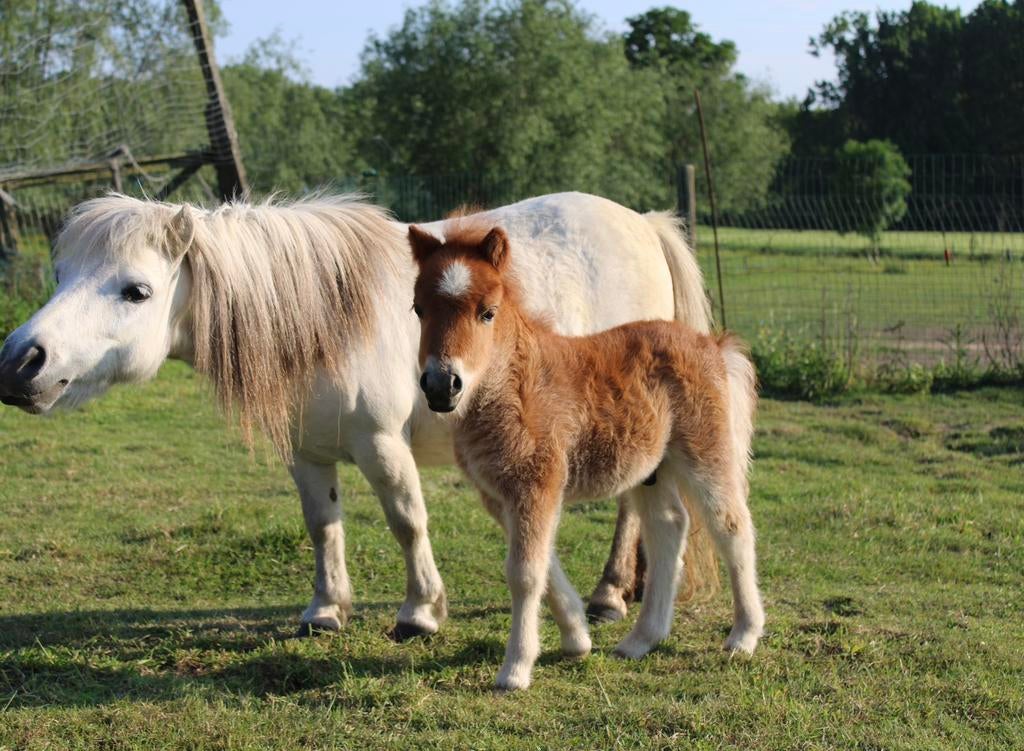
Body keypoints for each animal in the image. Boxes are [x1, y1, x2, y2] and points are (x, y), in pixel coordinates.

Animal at [0, 191, 717, 639]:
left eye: (137, 290)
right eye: (60, 274)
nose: (20, 361)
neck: (325, 319)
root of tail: (642, 223)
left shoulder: (381, 444)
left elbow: (406, 521)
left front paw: (420, 612)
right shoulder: (308, 451)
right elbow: (323, 525)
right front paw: (324, 609)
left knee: (628, 506)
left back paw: (608, 593)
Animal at [408, 222, 764, 690]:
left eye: (487, 312)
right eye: (418, 309)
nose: (440, 385)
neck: (518, 384)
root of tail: (711, 344)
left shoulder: (536, 484)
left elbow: (524, 573)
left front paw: (515, 669)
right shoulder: (500, 495)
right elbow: (545, 565)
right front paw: (577, 640)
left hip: (705, 452)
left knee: (731, 525)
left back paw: (744, 635)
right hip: (652, 468)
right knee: (669, 526)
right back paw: (640, 640)